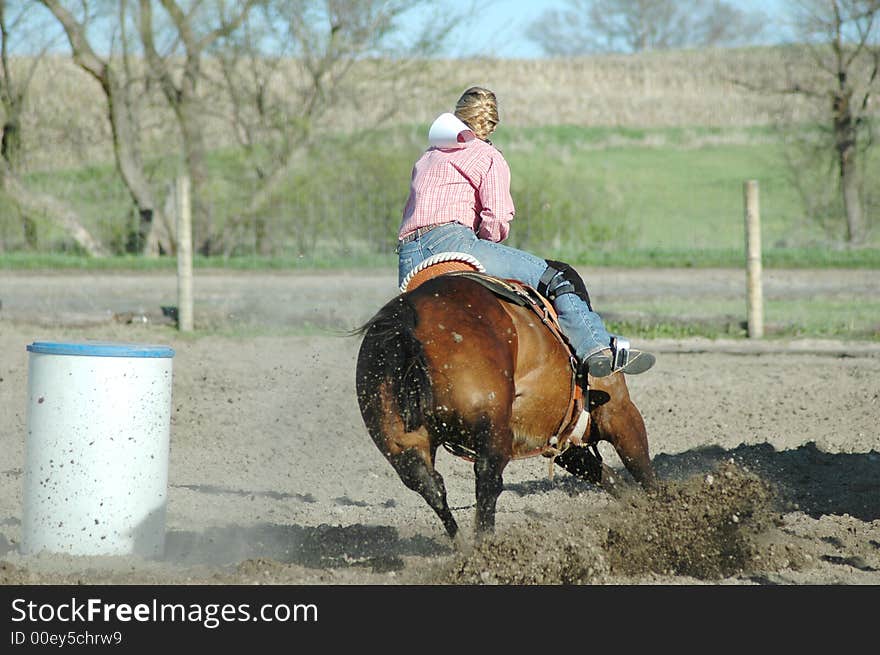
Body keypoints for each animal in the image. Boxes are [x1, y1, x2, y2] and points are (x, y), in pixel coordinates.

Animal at [354, 258, 656, 540]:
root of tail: (407, 322)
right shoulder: (617, 410)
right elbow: (641, 467)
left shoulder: (554, 439)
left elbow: (610, 477)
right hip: (491, 427)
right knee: (487, 482)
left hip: (401, 443)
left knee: (432, 487)